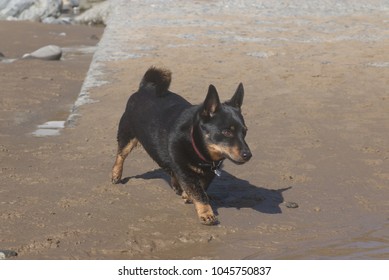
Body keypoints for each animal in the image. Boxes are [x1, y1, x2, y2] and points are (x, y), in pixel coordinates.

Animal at [111, 67, 252, 225]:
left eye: (245, 131)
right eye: (227, 132)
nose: (248, 155)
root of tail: (145, 87)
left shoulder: (207, 173)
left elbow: (202, 186)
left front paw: (188, 195)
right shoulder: (185, 171)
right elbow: (199, 192)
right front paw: (206, 213)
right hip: (127, 135)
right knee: (121, 155)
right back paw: (116, 174)